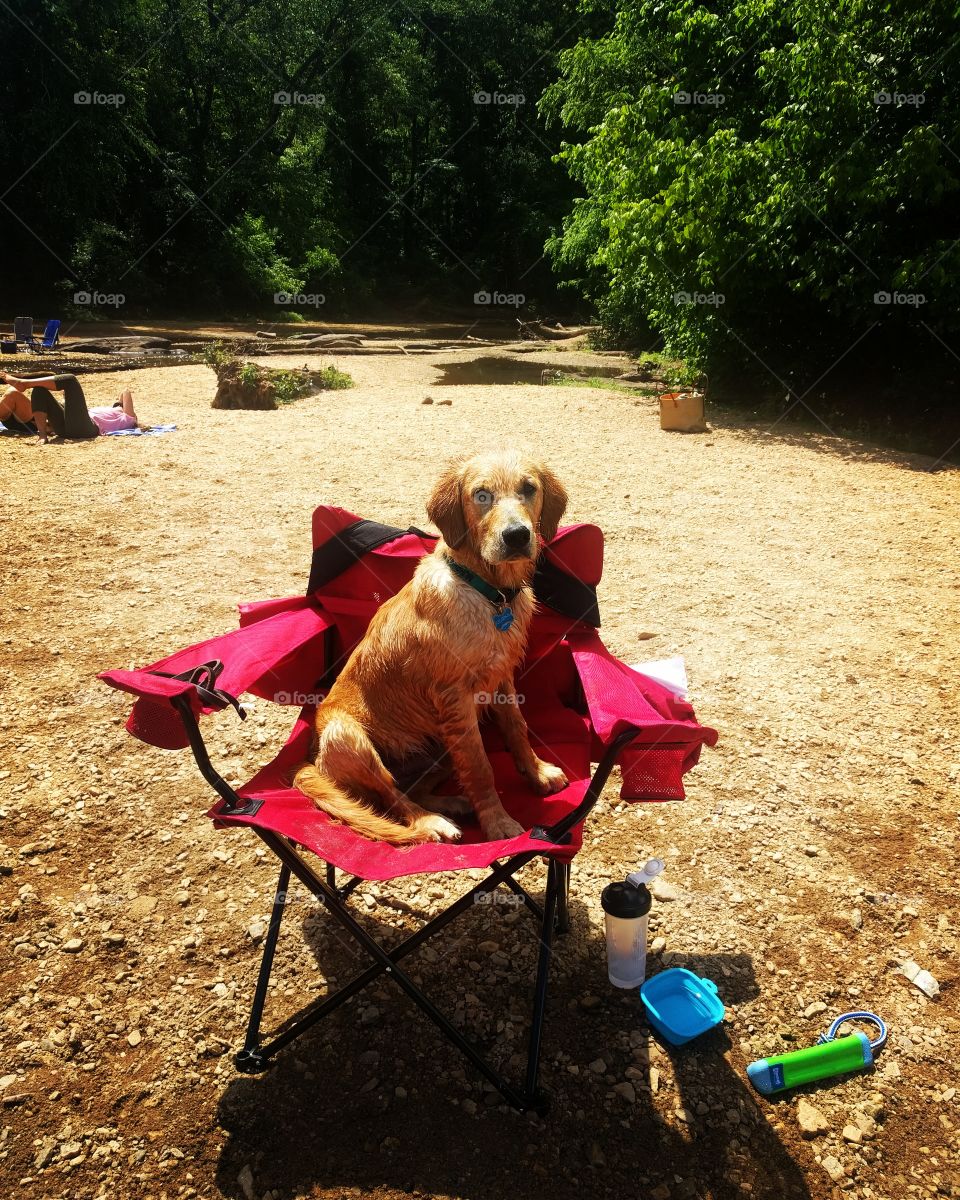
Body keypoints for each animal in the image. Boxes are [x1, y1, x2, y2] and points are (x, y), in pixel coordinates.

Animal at [294, 451, 571, 844]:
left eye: (529, 488)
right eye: (481, 495)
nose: (517, 536)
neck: (488, 593)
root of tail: (310, 759)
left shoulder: (502, 677)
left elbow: (517, 727)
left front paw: (536, 772)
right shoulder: (456, 698)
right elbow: (481, 767)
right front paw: (497, 822)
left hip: (437, 744)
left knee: (412, 789)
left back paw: (452, 803)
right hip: (347, 736)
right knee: (392, 797)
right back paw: (432, 822)